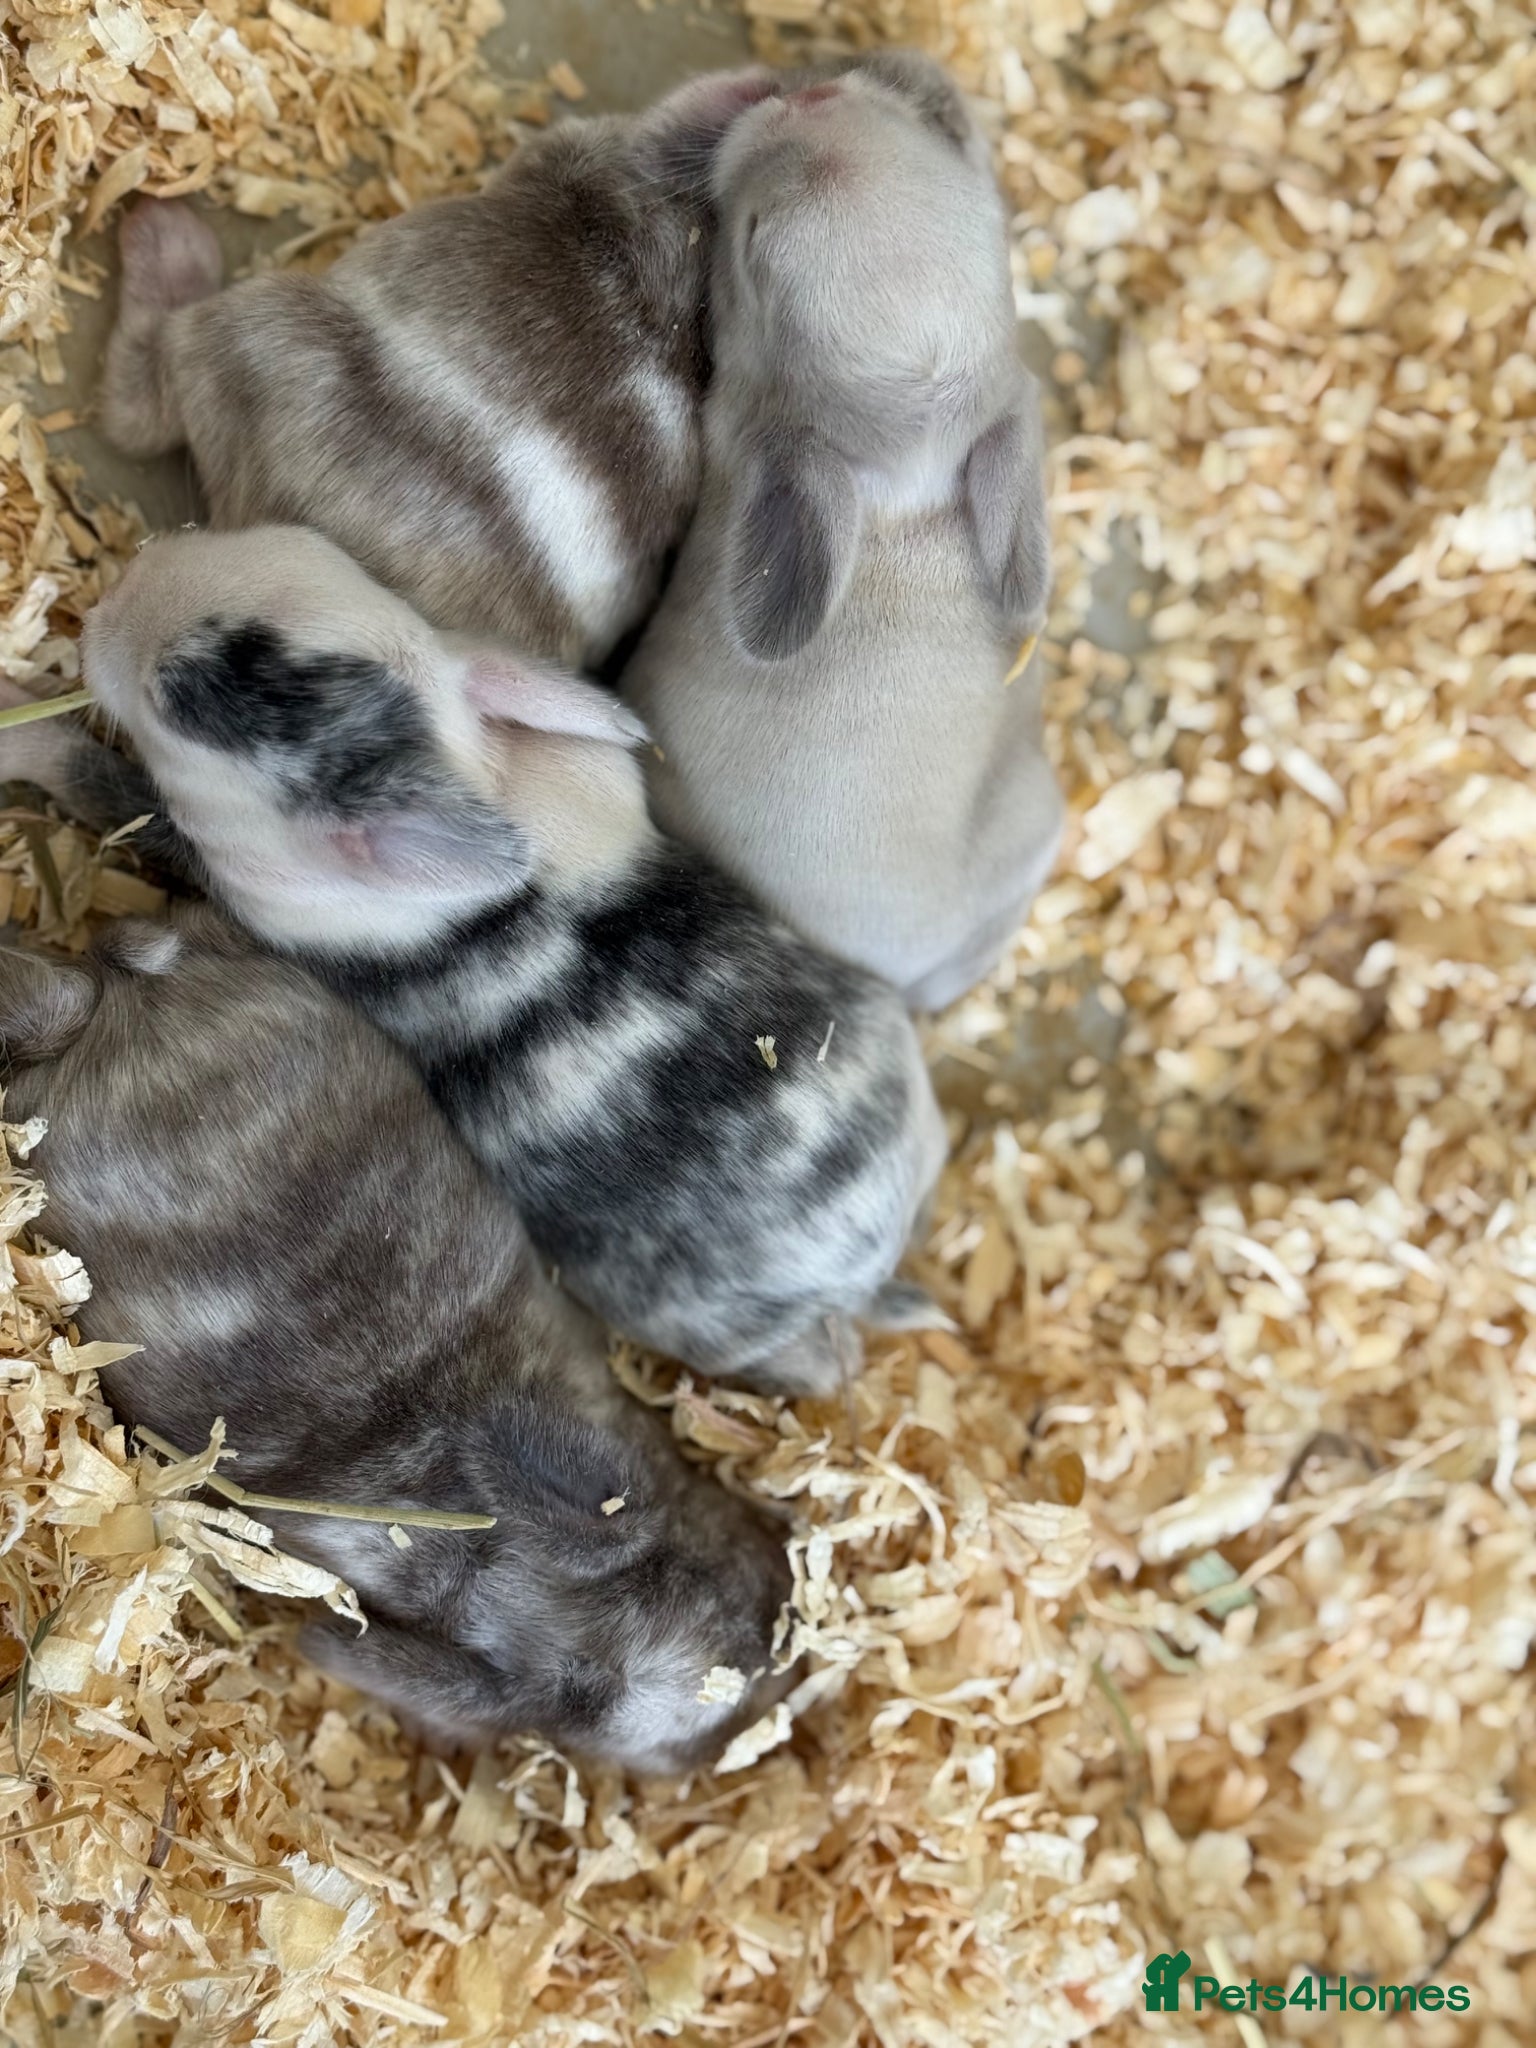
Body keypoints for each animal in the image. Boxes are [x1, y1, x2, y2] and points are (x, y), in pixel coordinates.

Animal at [6, 524, 949, 1398]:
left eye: (173, 698)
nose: (117, 593)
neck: (472, 768)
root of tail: (867, 1267)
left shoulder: (207, 860)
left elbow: (98, 781)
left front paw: (20, 723)